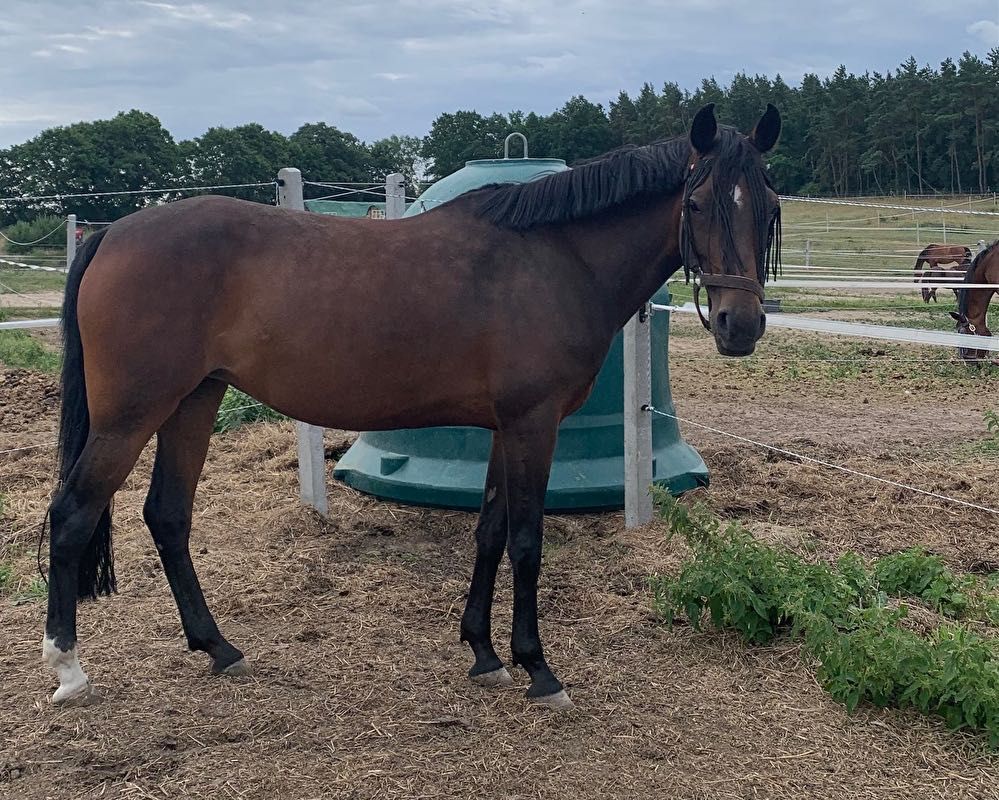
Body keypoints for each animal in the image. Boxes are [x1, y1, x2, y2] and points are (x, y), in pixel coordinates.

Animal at [43, 103, 784, 708]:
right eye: (696, 204)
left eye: (769, 205)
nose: (739, 324)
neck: (554, 257)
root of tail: (113, 233)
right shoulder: (533, 423)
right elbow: (526, 540)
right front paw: (538, 668)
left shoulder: (504, 427)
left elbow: (488, 533)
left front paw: (484, 653)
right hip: (131, 414)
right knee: (73, 513)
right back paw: (69, 668)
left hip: (193, 400)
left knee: (167, 515)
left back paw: (217, 647)